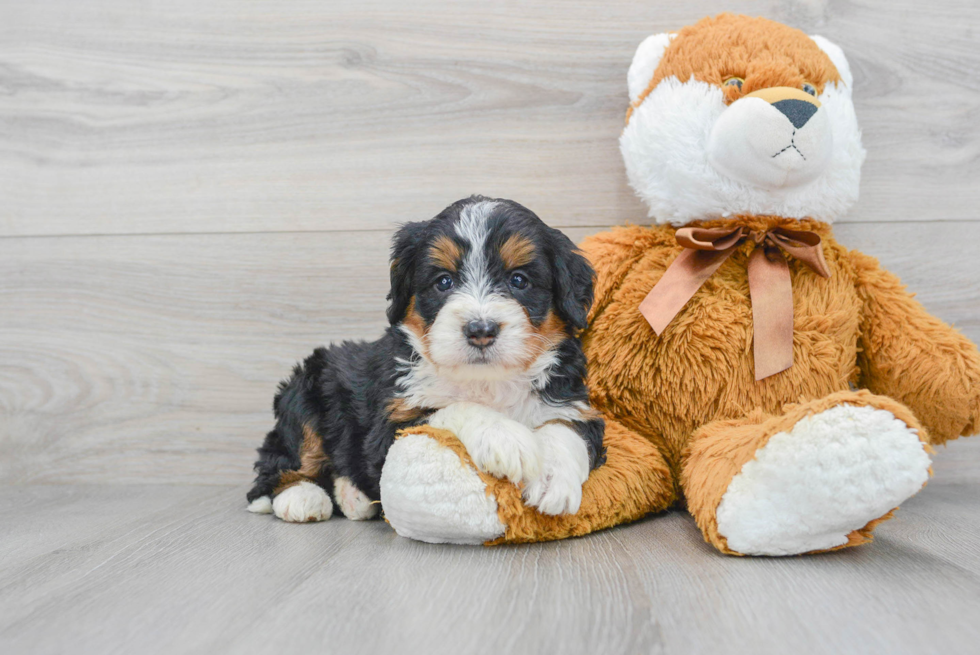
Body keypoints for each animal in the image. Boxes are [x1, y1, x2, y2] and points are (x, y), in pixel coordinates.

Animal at [247, 195, 604, 524]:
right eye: (443, 281)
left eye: (519, 280)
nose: (481, 330)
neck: (487, 380)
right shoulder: (391, 425)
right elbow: (452, 409)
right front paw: (504, 437)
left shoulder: (574, 402)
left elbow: (566, 428)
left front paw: (551, 478)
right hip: (305, 391)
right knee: (281, 461)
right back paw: (302, 497)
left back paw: (353, 497)